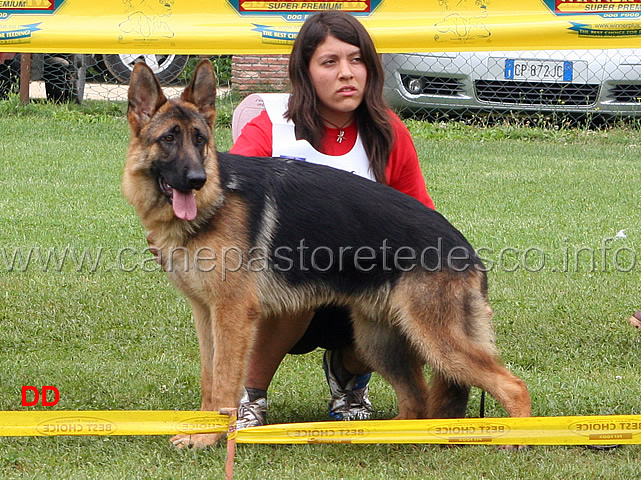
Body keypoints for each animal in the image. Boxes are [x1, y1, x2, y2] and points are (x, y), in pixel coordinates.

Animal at [121, 61, 528, 450]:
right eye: (169, 138)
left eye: (200, 140)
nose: (196, 179)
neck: (215, 201)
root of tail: (466, 248)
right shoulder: (206, 315)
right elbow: (210, 379)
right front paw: (203, 432)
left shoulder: (231, 315)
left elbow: (222, 382)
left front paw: (209, 439)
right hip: (380, 342)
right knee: (417, 400)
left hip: (435, 340)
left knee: (513, 385)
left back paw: (520, 438)